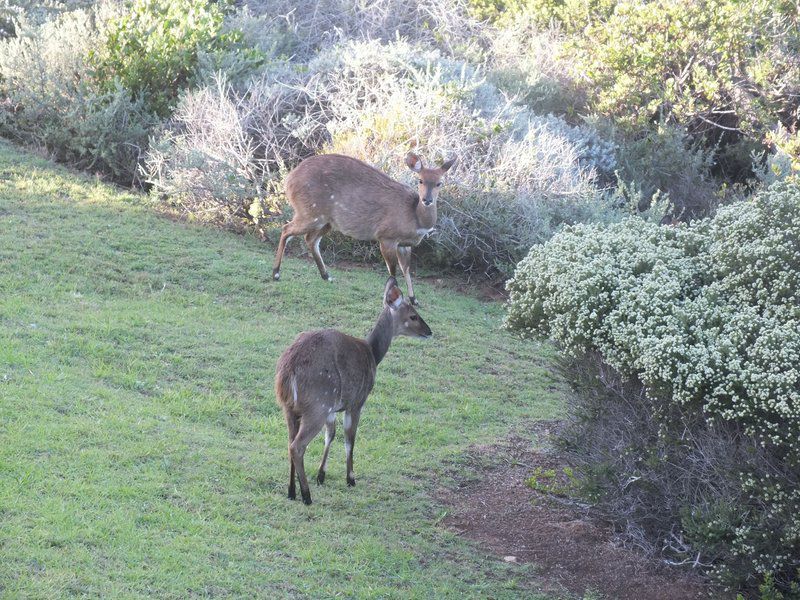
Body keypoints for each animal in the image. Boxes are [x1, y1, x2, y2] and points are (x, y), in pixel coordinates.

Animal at [270, 152, 454, 308]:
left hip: (326, 222)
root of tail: (289, 179)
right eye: (420, 180)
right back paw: (276, 274)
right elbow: (393, 271)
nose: (427, 200)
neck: (415, 216)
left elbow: (406, 269)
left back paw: (327, 276)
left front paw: (414, 300)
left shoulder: (404, 245)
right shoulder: (386, 238)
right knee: (286, 229)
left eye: (439, 183)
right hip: (310, 215)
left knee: (310, 239)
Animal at [276, 278, 432, 504]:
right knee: (297, 446)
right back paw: (306, 496)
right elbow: (350, 439)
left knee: (289, 442)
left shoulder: (333, 409)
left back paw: (291, 491)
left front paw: (321, 475)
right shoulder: (356, 402)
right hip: (316, 406)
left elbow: (331, 434)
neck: (372, 353)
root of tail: (288, 373)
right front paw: (350, 479)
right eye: (413, 315)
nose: (429, 331)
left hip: (290, 408)